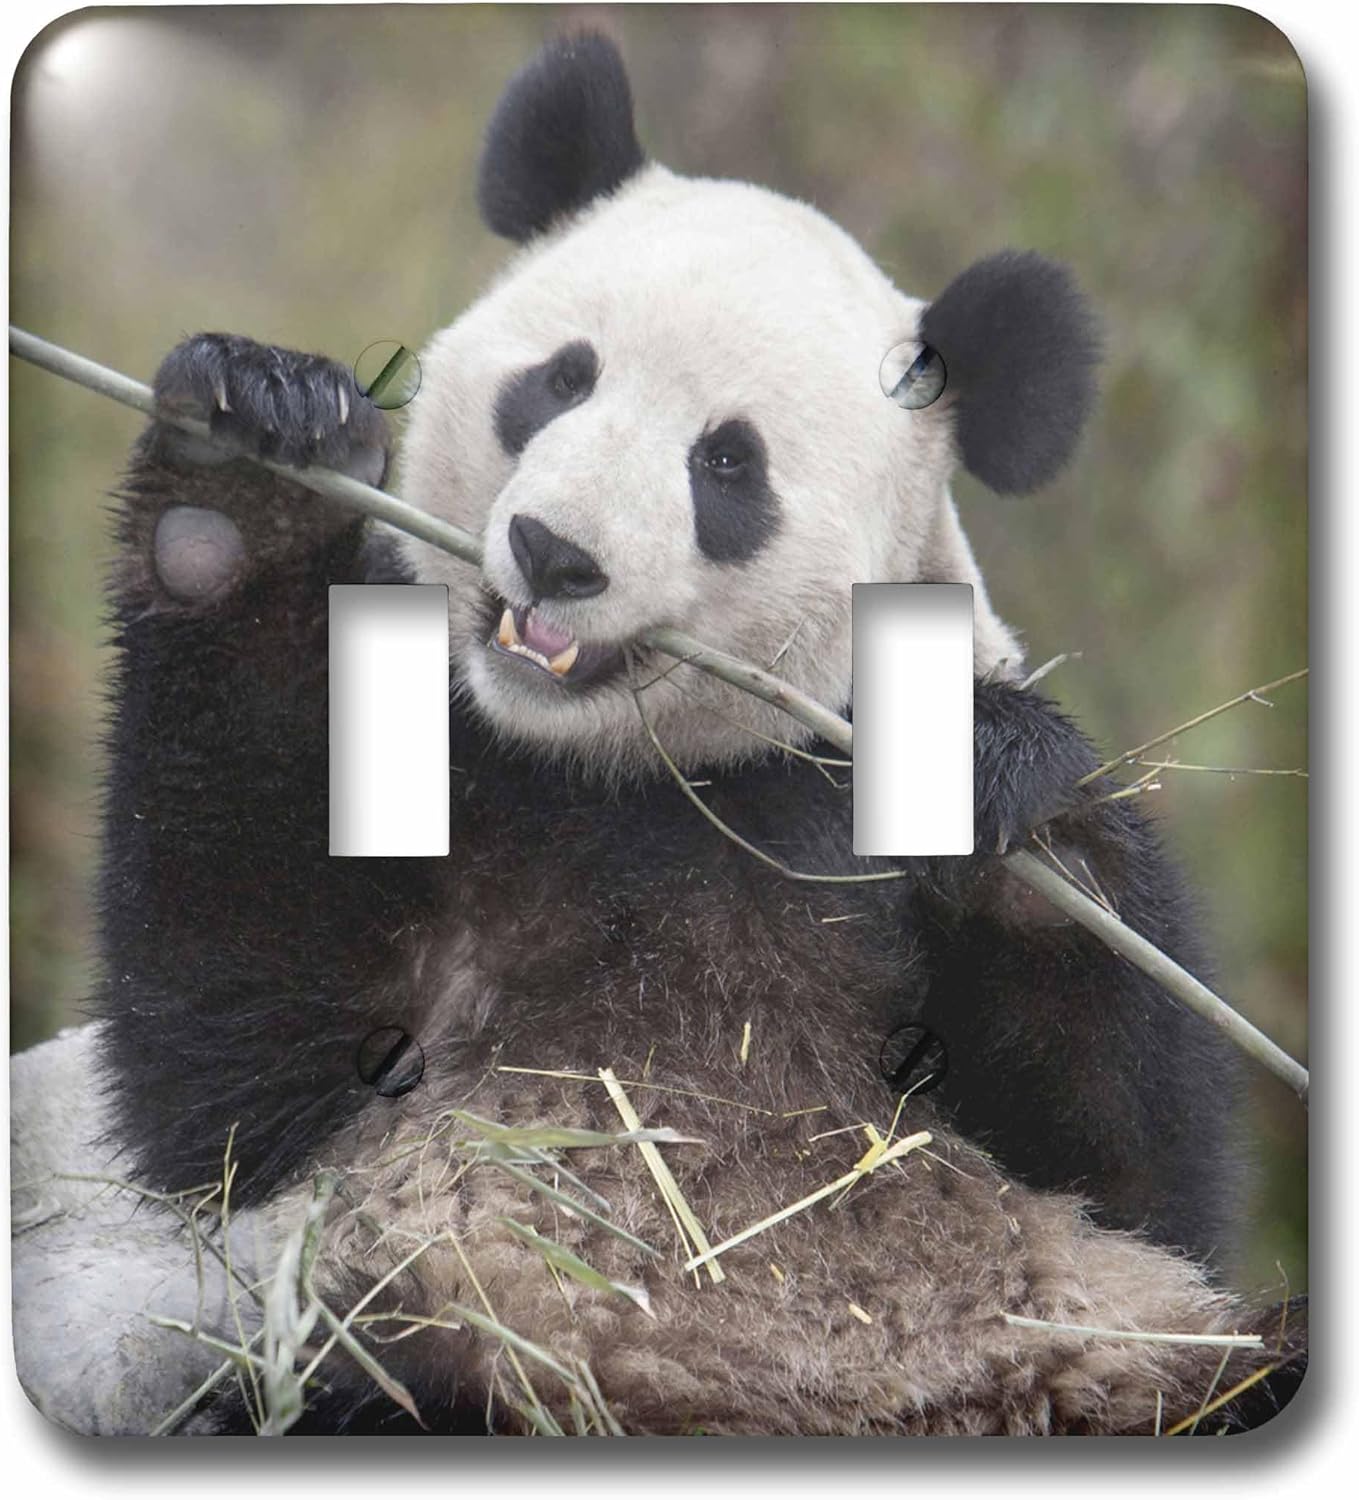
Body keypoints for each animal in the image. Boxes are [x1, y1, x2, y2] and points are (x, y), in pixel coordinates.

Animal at [91, 33, 1303, 1434]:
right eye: (560, 380)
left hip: (1133, 1379)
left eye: (727, 465)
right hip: (448, 1365)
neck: (639, 777)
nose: (553, 552)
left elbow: (1141, 1174)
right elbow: (241, 1066)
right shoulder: (456, 794)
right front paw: (250, 461)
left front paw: (989, 787)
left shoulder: (833, 814)